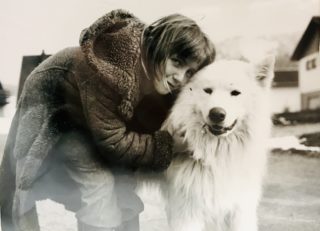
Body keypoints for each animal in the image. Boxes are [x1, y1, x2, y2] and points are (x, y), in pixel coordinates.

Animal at [161, 56, 276, 231]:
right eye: (208, 90)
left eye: (235, 93)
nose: (216, 114)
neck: (218, 155)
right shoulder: (187, 212)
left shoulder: (240, 208)